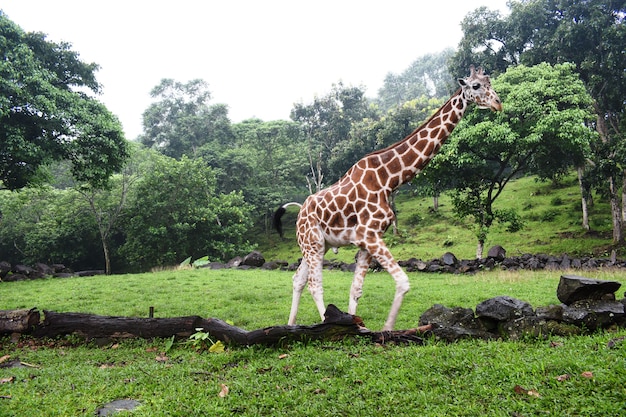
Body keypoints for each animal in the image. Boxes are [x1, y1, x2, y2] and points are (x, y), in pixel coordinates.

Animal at [272, 66, 502, 328]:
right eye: (475, 86)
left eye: (490, 82)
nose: (498, 103)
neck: (389, 179)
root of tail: (300, 209)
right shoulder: (369, 235)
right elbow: (403, 281)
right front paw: (386, 328)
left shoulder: (367, 240)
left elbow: (356, 290)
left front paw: (357, 324)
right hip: (313, 243)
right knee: (314, 285)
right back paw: (324, 323)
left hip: (318, 244)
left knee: (298, 279)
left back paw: (291, 324)